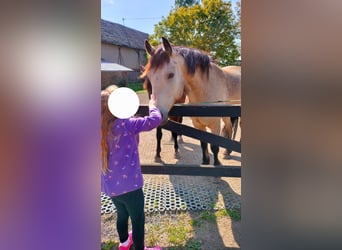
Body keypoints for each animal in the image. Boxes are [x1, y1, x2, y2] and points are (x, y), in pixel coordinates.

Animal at [140, 37, 242, 165]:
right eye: (149, 77)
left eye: (171, 75)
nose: (156, 115)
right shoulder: (198, 125)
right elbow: (204, 145)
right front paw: (205, 162)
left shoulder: (215, 125)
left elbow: (214, 146)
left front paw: (217, 164)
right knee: (230, 128)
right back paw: (227, 152)